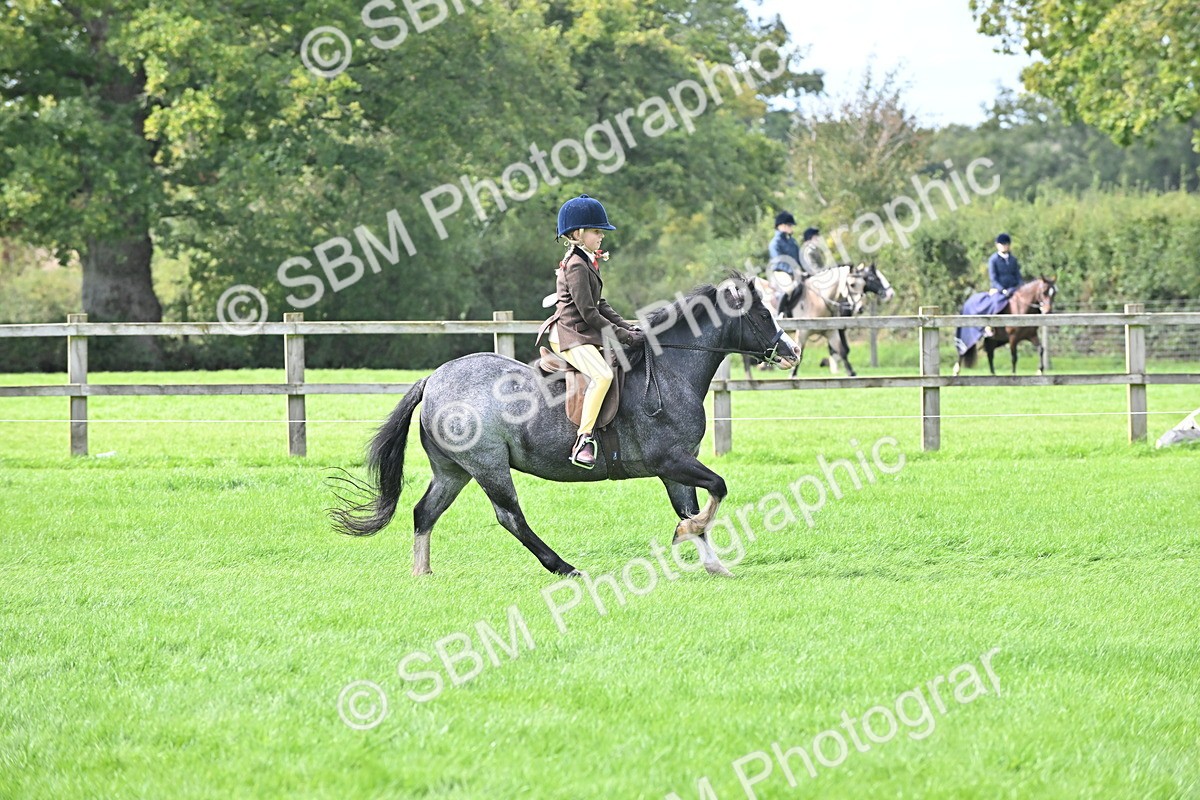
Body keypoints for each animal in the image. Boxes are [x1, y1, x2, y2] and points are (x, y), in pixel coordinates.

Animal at [330, 275, 800, 578]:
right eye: (763, 314)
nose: (792, 352)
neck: (669, 371)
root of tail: (433, 379)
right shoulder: (671, 460)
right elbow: (717, 489)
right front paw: (689, 535)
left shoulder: (676, 467)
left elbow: (690, 506)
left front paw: (713, 562)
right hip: (488, 466)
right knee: (510, 517)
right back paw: (565, 568)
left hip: (453, 471)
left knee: (424, 512)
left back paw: (422, 572)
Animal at [748, 263, 895, 379]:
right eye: (852, 285)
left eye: (864, 283)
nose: (860, 308)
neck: (818, 299)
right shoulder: (803, 332)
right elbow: (801, 352)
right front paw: (792, 374)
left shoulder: (832, 332)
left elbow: (842, 350)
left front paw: (851, 373)